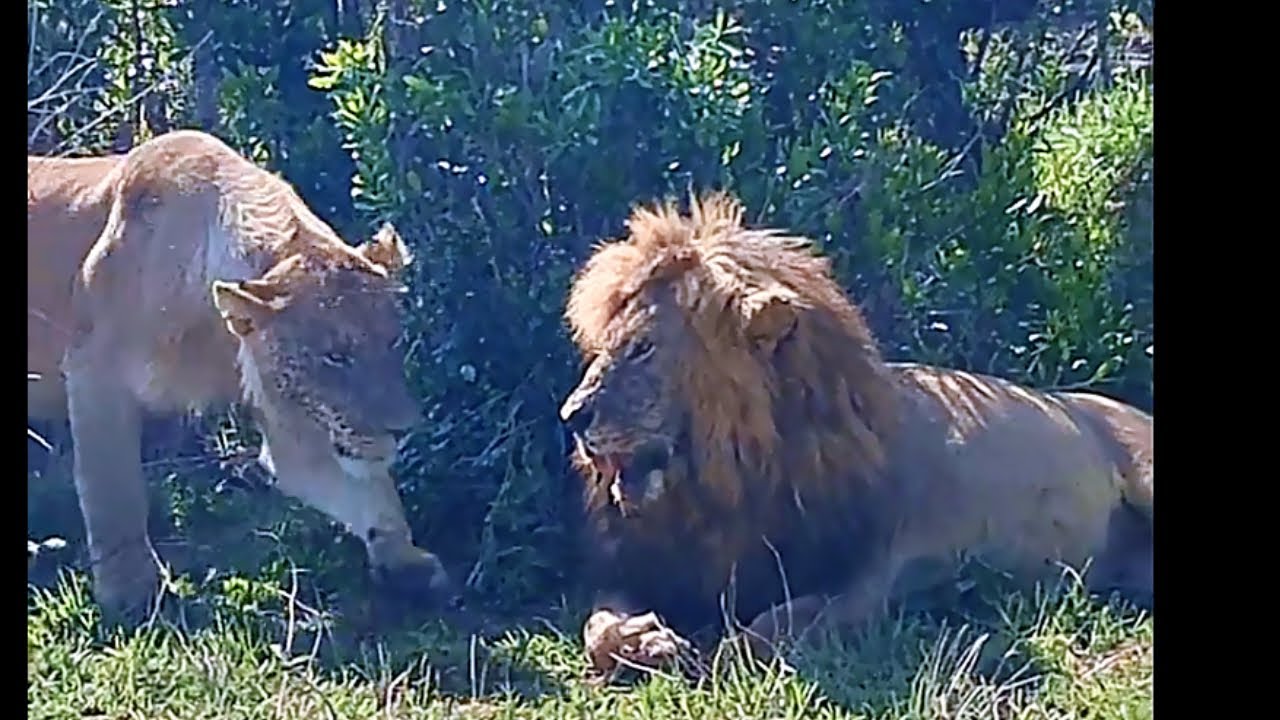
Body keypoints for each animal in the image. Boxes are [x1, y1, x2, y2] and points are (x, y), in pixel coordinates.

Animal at [28, 130, 453, 623]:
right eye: (335, 356)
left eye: (393, 342)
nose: (403, 430)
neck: (215, 333)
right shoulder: (92, 370)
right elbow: (113, 490)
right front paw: (130, 591)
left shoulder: (292, 422)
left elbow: (367, 489)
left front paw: (405, 561)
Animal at [557, 192, 1153, 677]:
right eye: (605, 344)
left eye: (643, 347)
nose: (571, 416)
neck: (725, 490)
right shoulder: (644, 568)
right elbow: (598, 628)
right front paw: (648, 641)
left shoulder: (882, 566)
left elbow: (785, 625)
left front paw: (724, 650)